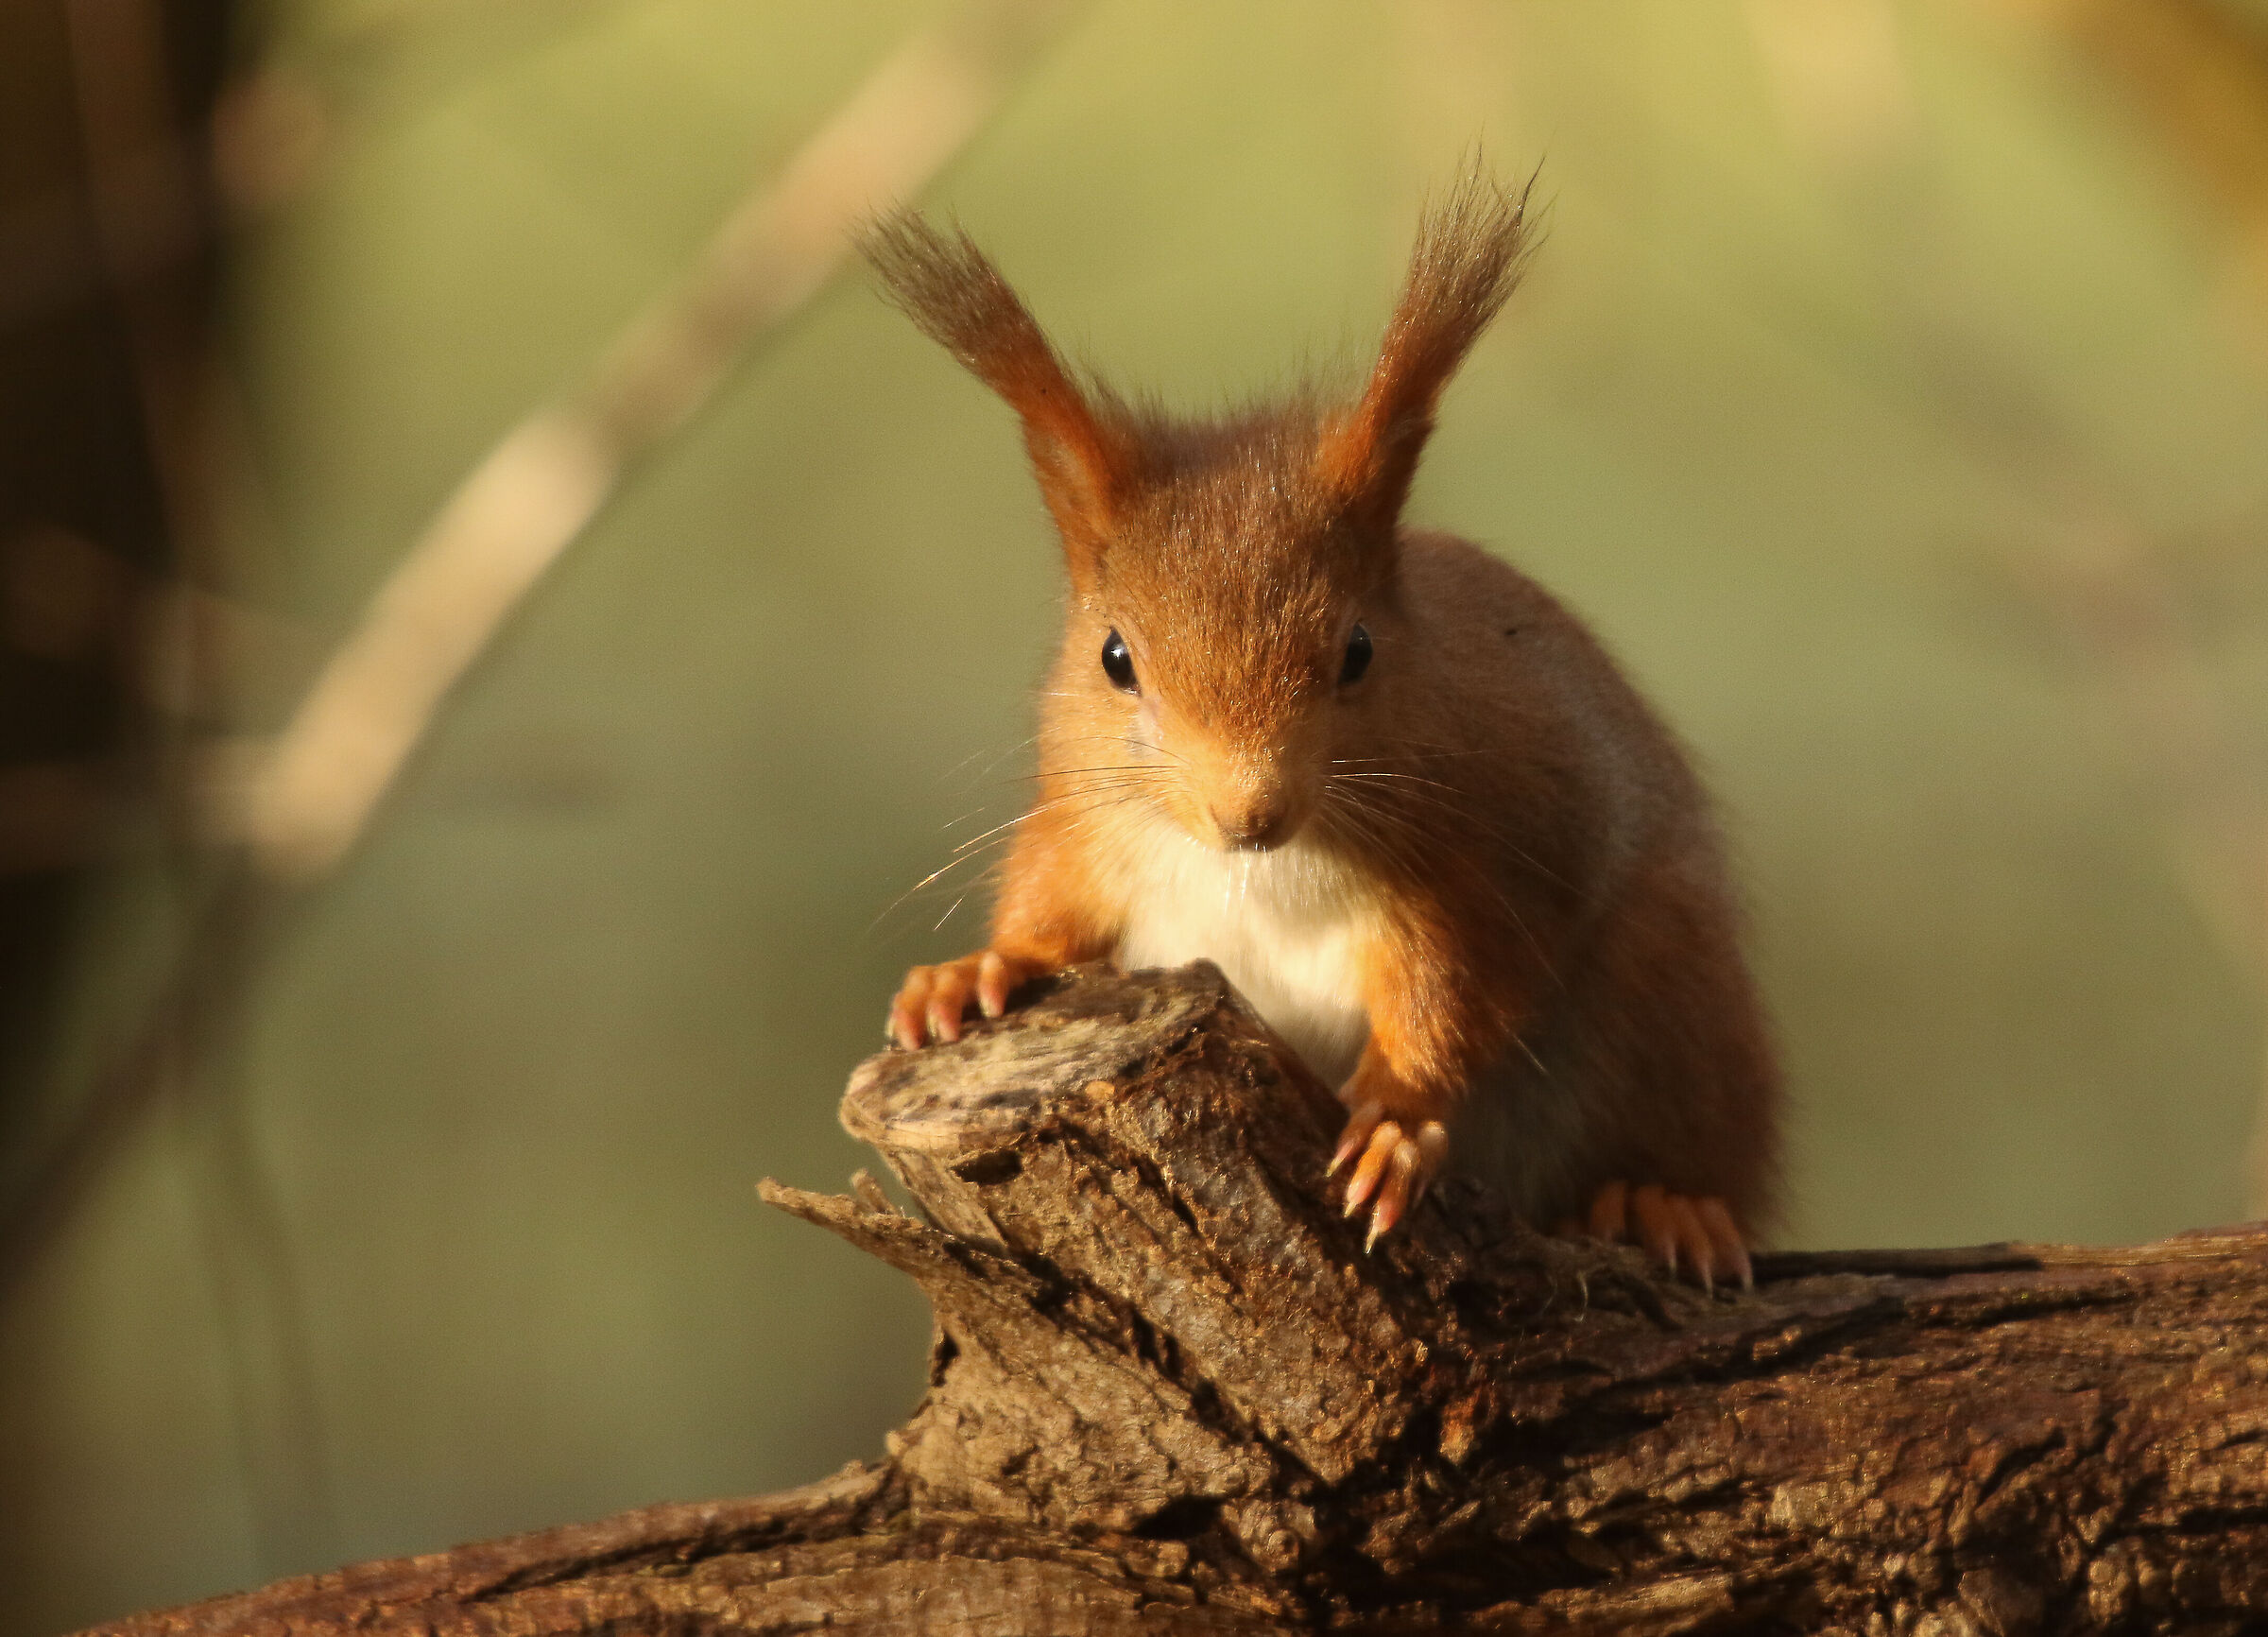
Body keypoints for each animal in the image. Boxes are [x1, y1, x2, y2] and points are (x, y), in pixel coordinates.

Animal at [870, 172, 1781, 1286]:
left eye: (1357, 651)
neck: (1254, 873)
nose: (1249, 812)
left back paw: (1667, 1204)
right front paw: (975, 972)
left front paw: (1394, 1121)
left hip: (1675, 998)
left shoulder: (1478, 856)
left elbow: (1450, 998)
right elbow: (1049, 904)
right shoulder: (1085, 827)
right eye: (1115, 659)